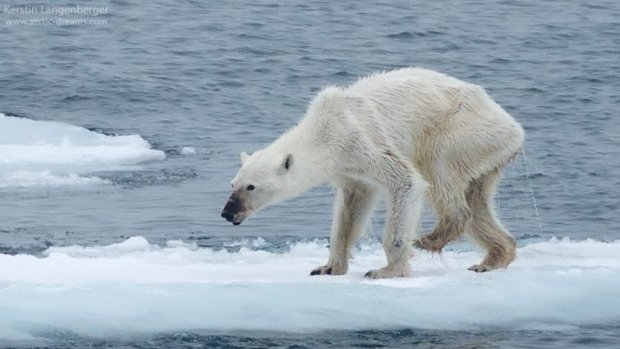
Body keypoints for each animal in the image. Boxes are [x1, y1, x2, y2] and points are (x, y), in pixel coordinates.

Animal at [222, 68, 524, 278]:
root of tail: (514, 128)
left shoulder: (360, 139)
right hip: (486, 153)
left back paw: (431, 238)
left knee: (439, 169)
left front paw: (386, 270)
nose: (227, 212)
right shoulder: (348, 168)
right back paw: (492, 259)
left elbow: (405, 181)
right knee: (477, 200)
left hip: (462, 130)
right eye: (232, 183)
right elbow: (352, 207)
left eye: (251, 187)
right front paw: (328, 267)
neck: (324, 130)